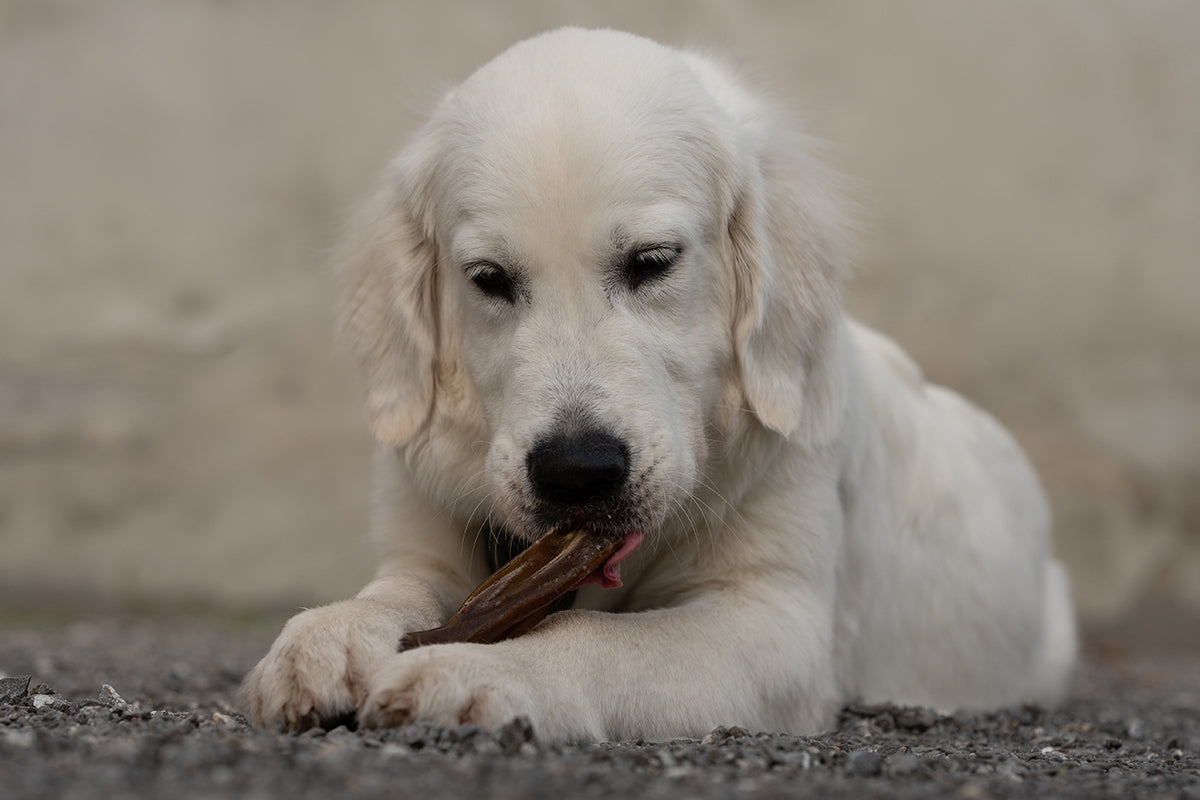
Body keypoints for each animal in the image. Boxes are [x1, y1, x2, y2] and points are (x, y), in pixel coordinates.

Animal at [238, 28, 1075, 743]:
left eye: (651, 262)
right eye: (489, 279)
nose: (577, 472)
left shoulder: (772, 620)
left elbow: (596, 637)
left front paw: (476, 670)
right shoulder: (428, 555)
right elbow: (396, 593)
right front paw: (327, 636)